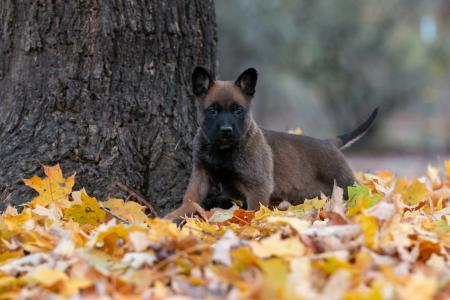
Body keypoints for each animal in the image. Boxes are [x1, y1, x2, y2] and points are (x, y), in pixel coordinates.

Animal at [164, 67, 376, 219]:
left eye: (238, 110)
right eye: (212, 111)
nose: (226, 130)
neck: (223, 149)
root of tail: (329, 142)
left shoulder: (258, 187)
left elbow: (253, 211)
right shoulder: (201, 175)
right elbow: (190, 199)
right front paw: (175, 215)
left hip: (346, 182)